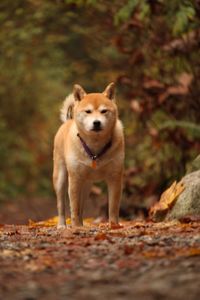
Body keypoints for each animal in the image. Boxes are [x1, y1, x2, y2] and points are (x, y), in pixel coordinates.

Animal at [53, 82, 125, 227]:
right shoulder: (75, 179)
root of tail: (67, 121)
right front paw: (75, 226)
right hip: (61, 179)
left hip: (86, 186)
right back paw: (62, 225)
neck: (95, 150)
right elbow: (74, 208)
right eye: (88, 111)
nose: (96, 122)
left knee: (82, 207)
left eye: (104, 111)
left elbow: (113, 207)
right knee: (61, 205)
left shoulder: (115, 177)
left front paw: (114, 226)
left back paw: (82, 224)